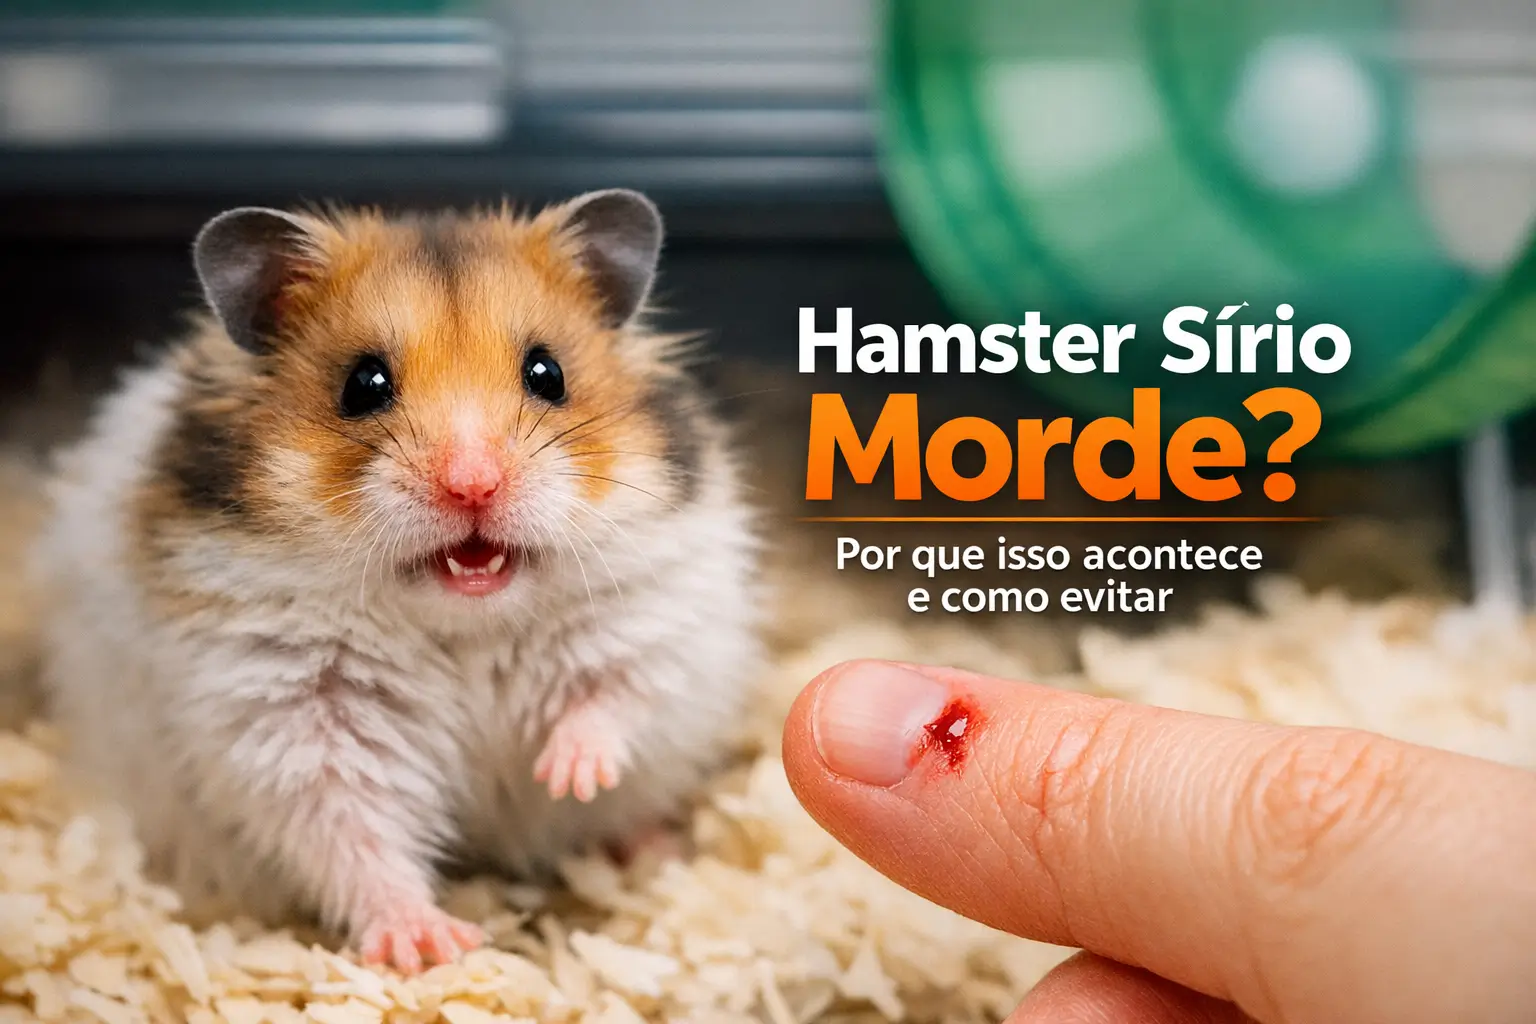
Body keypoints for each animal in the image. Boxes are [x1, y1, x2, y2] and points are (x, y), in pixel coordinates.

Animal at [33, 190, 763, 973]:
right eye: (364, 385)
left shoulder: (654, 613)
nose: (473, 485)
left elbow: (614, 696)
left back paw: (654, 845)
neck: (464, 622)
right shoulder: (296, 715)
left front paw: (566, 774)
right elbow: (353, 831)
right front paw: (432, 944)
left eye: (548, 374)